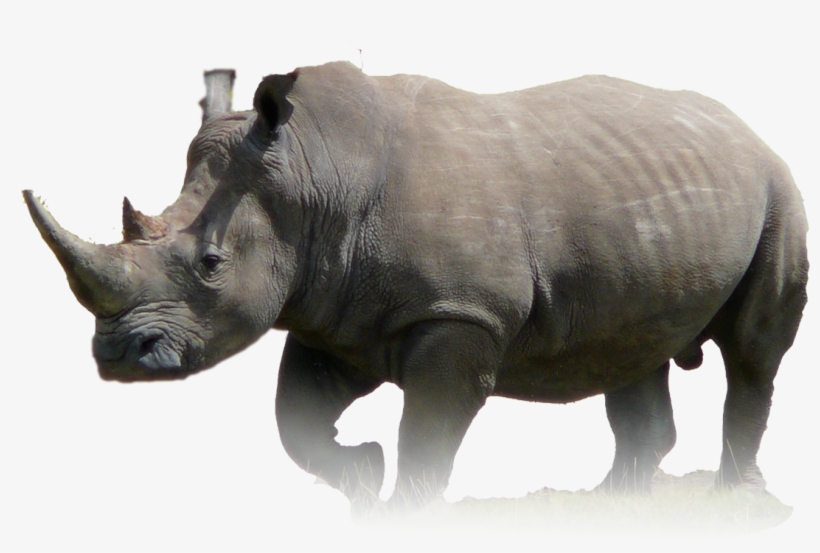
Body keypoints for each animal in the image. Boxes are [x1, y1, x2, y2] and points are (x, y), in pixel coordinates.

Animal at [24, 62, 808, 508]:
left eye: (212, 265)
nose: (117, 357)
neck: (313, 175)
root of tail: (745, 127)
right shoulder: (333, 312)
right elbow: (294, 420)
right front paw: (362, 481)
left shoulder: (459, 314)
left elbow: (427, 431)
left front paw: (406, 512)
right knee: (632, 346)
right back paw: (612, 506)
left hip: (779, 190)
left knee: (753, 353)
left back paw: (733, 498)